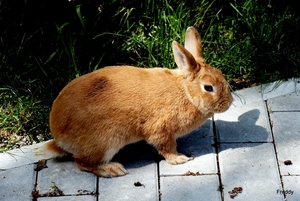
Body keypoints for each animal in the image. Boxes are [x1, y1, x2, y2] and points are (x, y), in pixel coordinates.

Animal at [44, 26, 233, 177]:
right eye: (208, 87)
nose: (229, 102)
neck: (186, 93)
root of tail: (58, 138)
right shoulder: (161, 130)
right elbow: (166, 148)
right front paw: (180, 159)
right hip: (106, 143)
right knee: (81, 162)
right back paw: (112, 169)